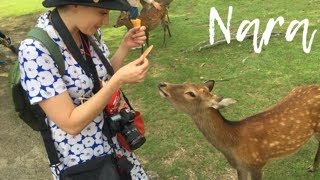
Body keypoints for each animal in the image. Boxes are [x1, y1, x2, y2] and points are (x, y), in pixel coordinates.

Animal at [159, 80, 320, 180]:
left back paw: (312, 167)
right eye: (185, 82)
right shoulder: (239, 167)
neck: (233, 143)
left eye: (191, 93)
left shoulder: (257, 164)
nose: (162, 84)